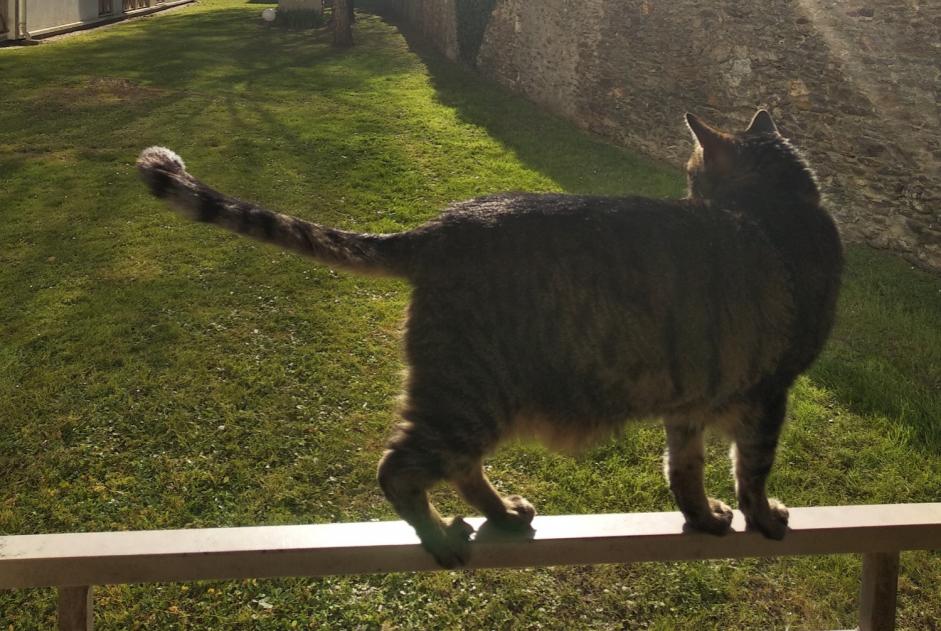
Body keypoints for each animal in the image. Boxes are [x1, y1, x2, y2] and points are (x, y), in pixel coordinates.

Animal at [138, 108, 844, 568]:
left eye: (695, 176)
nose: (689, 195)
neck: (775, 210)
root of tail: (438, 227)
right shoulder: (769, 393)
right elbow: (751, 469)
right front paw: (762, 516)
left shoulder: (691, 402)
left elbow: (686, 471)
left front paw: (702, 516)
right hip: (470, 394)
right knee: (399, 469)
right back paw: (444, 537)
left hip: (466, 395)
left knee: (457, 467)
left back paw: (502, 513)